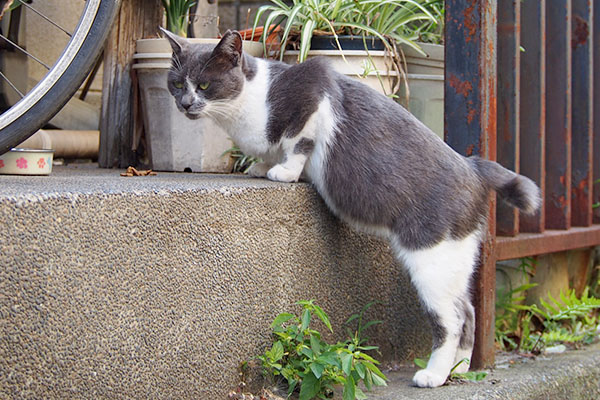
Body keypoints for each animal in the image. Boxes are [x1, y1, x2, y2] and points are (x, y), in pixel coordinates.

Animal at [162, 28, 540, 388]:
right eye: (177, 84)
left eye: (205, 84)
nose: (185, 103)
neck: (246, 106)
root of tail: (474, 167)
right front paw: (259, 166)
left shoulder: (313, 93)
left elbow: (300, 142)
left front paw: (284, 172)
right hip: (456, 257)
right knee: (470, 311)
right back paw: (457, 370)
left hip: (432, 258)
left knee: (452, 319)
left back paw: (433, 375)